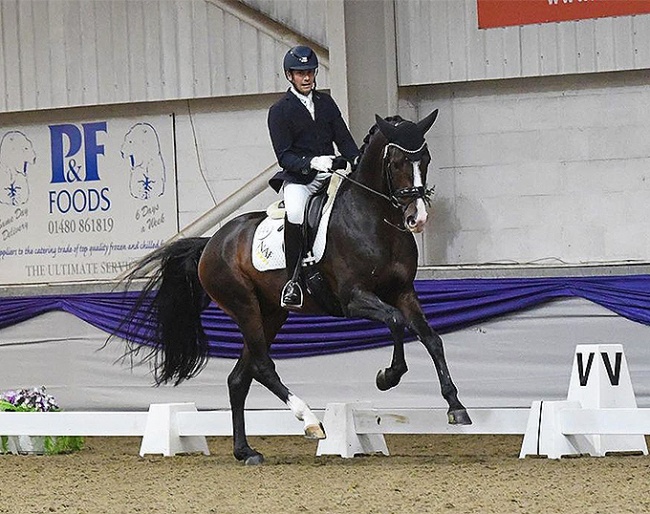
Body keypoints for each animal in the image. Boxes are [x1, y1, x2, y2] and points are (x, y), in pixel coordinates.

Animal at [116, 111, 468, 464]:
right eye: (396, 162)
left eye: (425, 158)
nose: (416, 218)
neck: (375, 221)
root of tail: (212, 242)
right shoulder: (353, 298)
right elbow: (395, 321)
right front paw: (388, 377)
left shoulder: (403, 292)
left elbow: (431, 339)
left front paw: (456, 407)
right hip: (244, 306)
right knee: (262, 366)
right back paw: (310, 421)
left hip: (271, 313)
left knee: (239, 378)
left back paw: (245, 451)